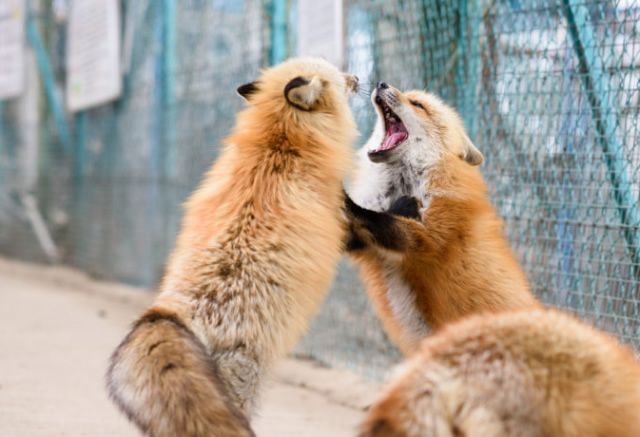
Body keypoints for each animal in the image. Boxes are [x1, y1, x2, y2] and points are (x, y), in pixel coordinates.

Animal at [104, 58, 360, 436]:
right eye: (337, 75)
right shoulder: (342, 215)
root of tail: (170, 313)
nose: (357, 77)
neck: (280, 140)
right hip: (244, 384)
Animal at [344, 82, 540, 354]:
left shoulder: (432, 233)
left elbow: (380, 219)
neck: (403, 185)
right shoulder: (356, 238)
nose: (382, 84)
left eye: (418, 104)